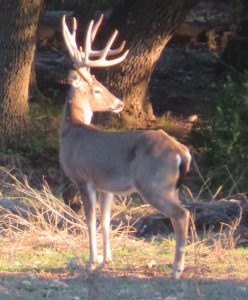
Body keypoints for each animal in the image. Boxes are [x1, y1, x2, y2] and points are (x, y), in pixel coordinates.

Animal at [60, 15, 192, 280]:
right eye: (98, 88)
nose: (119, 102)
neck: (73, 129)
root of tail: (182, 152)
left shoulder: (83, 178)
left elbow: (89, 220)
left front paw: (92, 262)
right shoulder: (106, 185)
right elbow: (105, 219)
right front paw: (107, 259)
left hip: (154, 183)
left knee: (182, 214)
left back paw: (177, 270)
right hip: (171, 186)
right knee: (180, 215)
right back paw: (178, 265)